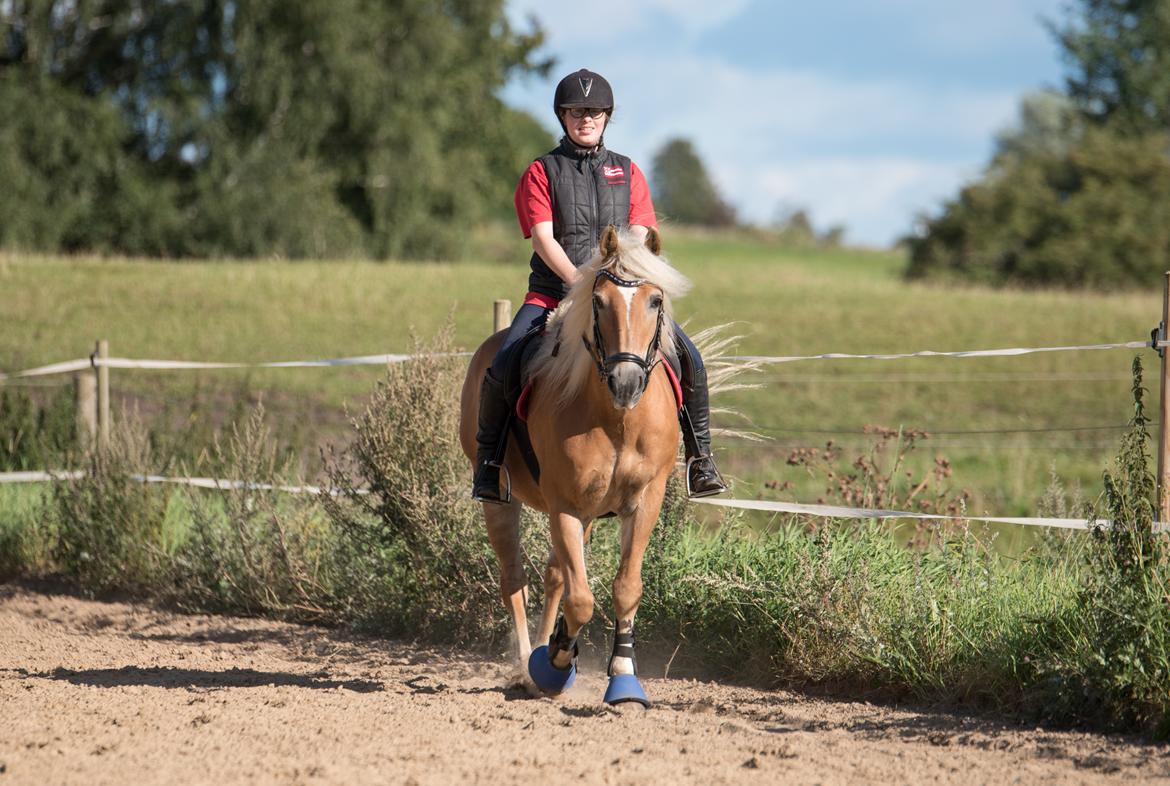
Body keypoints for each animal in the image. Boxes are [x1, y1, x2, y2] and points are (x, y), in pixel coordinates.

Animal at [458, 225, 692, 706]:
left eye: (655, 300)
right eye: (598, 301)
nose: (626, 382)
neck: (617, 418)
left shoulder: (642, 502)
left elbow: (624, 587)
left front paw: (623, 676)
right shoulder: (566, 506)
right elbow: (581, 599)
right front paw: (554, 664)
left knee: (555, 577)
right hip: (500, 501)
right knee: (515, 579)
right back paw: (526, 666)